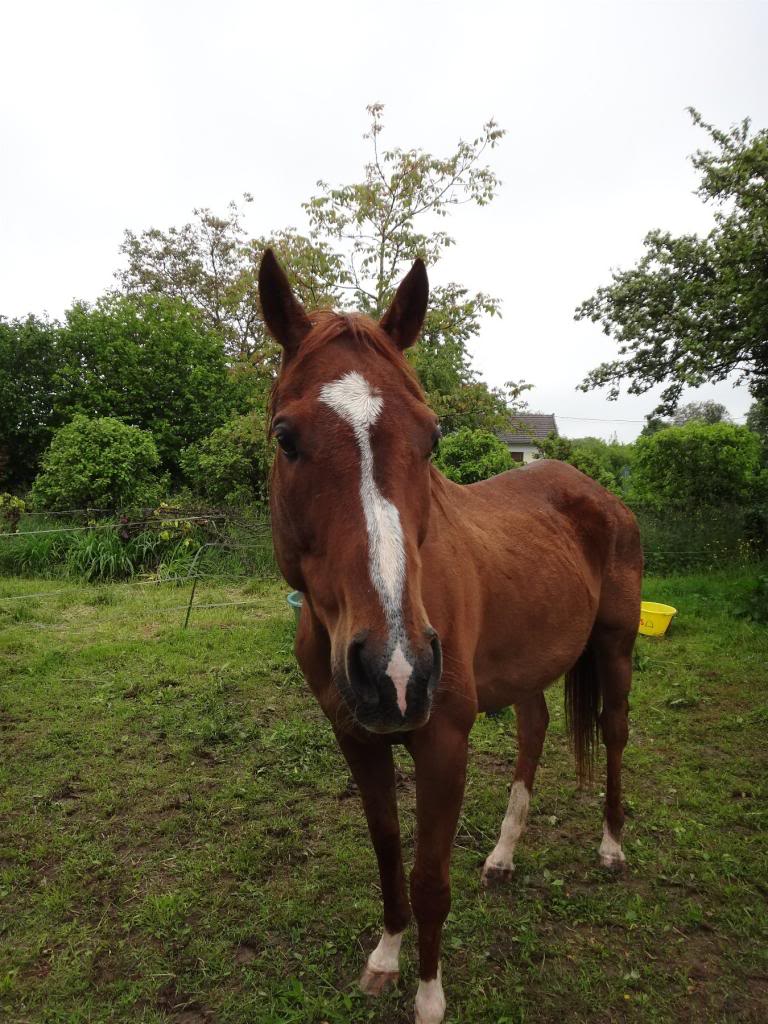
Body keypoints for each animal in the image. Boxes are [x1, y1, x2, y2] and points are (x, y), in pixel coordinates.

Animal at [262, 249, 647, 1024]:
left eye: (431, 436)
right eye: (286, 438)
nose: (396, 671)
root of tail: (597, 491)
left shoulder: (443, 742)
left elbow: (429, 876)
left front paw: (429, 996)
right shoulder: (355, 737)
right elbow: (388, 854)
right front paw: (384, 958)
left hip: (615, 649)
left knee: (615, 733)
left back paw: (611, 847)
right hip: (529, 665)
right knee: (534, 728)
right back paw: (502, 856)